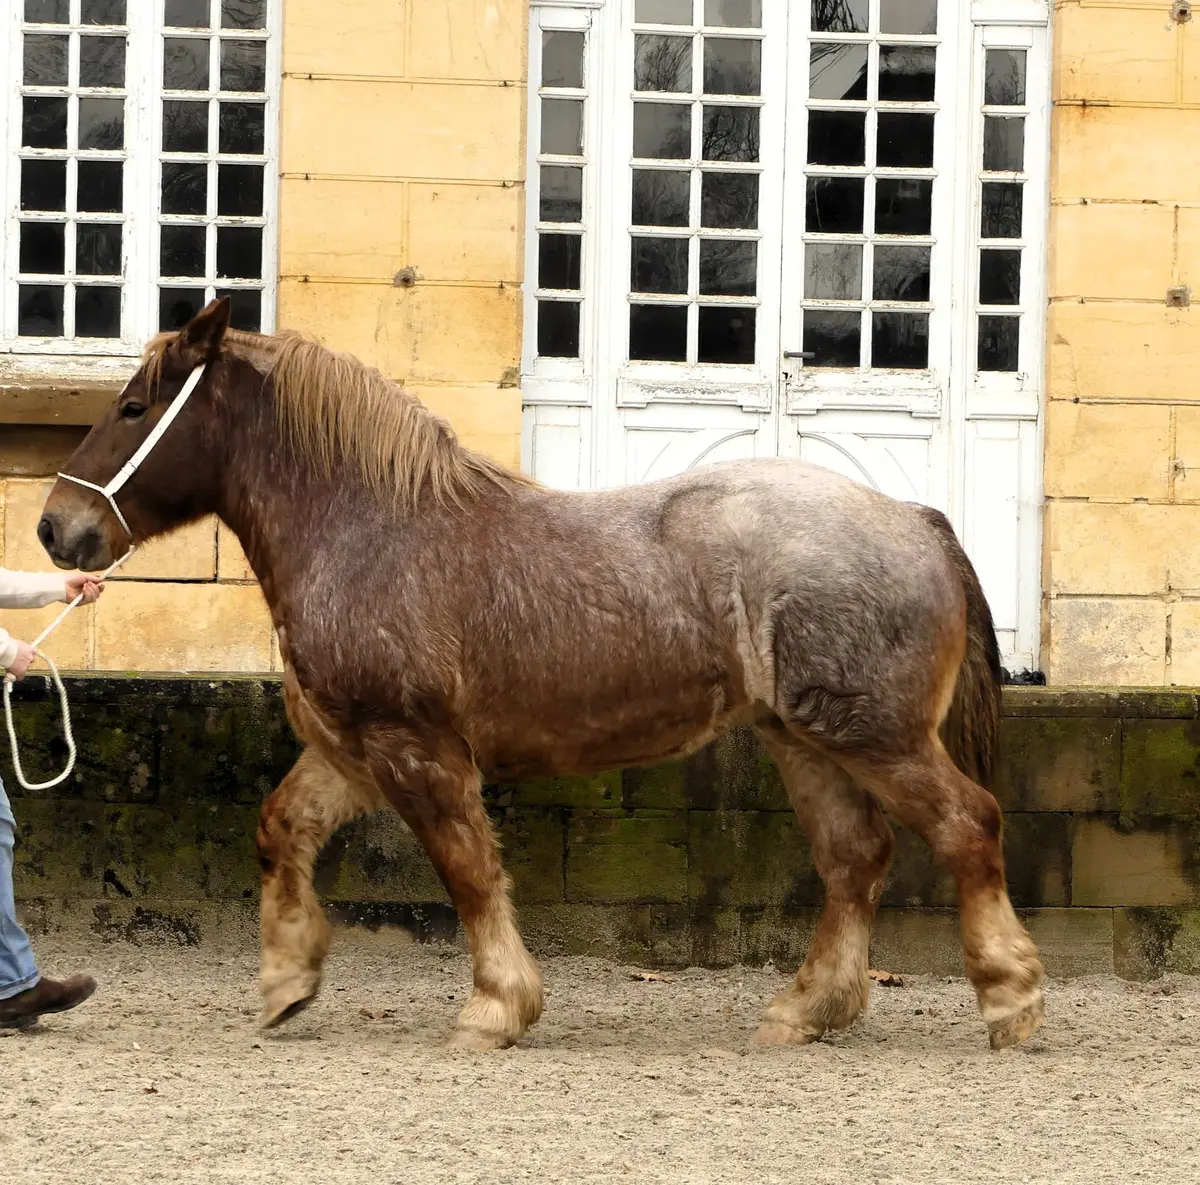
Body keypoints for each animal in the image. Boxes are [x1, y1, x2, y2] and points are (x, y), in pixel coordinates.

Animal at [37, 298, 1045, 1052]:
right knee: (855, 859)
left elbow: (469, 871)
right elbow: (282, 828)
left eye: (134, 407)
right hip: (804, 739)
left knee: (967, 825)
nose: (55, 528)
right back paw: (807, 1010)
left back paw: (1009, 997)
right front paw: (288, 980)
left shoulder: (417, 749)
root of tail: (916, 517)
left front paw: (496, 1007)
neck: (370, 529)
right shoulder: (354, 751)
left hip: (875, 735)